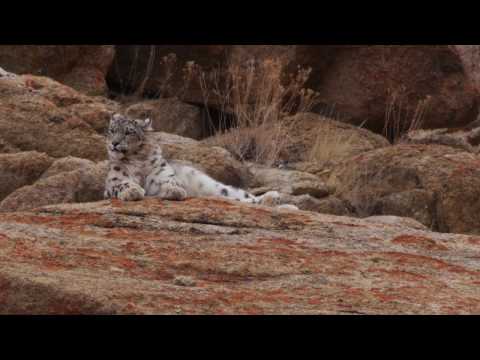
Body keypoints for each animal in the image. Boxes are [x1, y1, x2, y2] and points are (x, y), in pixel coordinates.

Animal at [104, 112, 296, 208]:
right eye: (112, 130)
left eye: (128, 132)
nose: (114, 143)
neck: (138, 159)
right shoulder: (114, 181)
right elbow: (122, 183)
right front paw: (133, 191)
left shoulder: (163, 175)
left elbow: (171, 182)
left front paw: (173, 190)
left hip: (216, 186)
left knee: (242, 196)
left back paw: (272, 197)